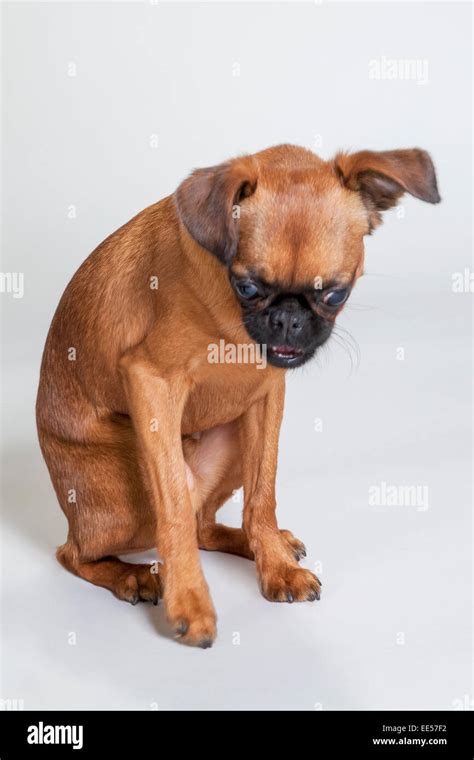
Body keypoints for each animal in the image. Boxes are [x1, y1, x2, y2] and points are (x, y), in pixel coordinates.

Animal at [35, 142, 438, 648]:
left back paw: (260, 544)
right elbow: (173, 510)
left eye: (335, 294)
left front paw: (274, 564)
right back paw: (131, 575)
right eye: (247, 287)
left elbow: (262, 494)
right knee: (76, 552)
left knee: (204, 526)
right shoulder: (150, 381)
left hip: (230, 446)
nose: (288, 318)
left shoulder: (266, 398)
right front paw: (189, 599)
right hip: (126, 507)